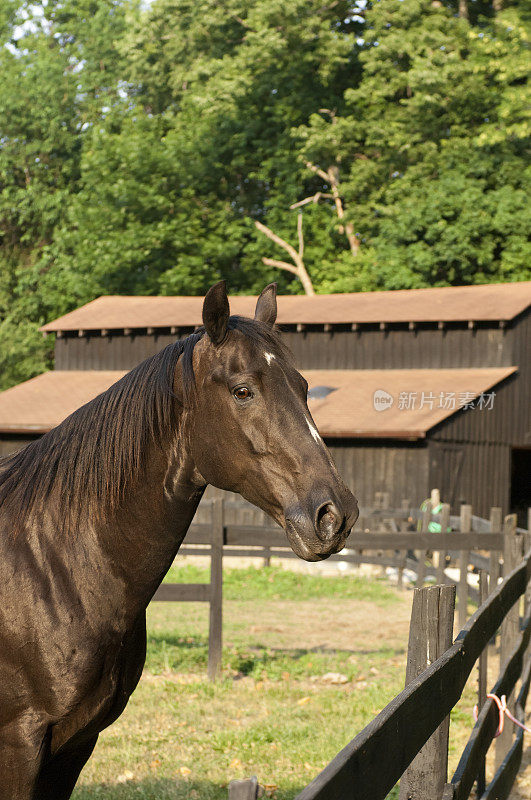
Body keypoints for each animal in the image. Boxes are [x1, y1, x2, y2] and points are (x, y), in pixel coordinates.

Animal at [0, 284, 360, 796]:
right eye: (243, 391)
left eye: (305, 388)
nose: (334, 515)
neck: (51, 566)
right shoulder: (20, 744)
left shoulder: (75, 746)